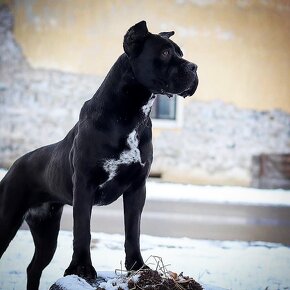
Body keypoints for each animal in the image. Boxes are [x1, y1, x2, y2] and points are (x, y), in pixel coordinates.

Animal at [0, 21, 197, 290]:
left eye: (181, 52)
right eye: (166, 53)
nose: (194, 67)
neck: (130, 115)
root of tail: (14, 165)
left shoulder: (137, 188)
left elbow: (133, 230)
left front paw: (138, 268)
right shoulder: (85, 185)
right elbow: (83, 230)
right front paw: (82, 270)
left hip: (46, 230)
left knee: (34, 267)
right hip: (7, 219)